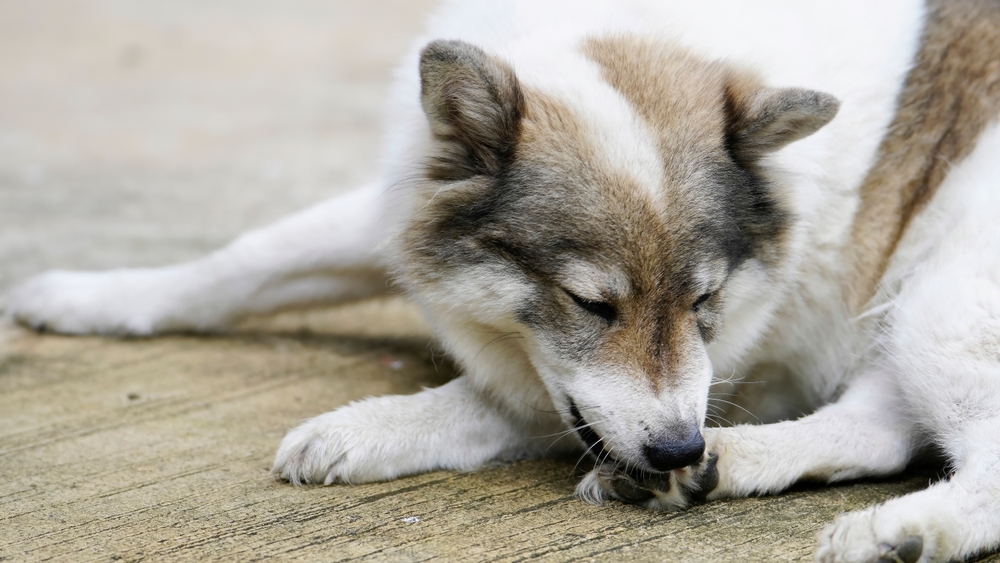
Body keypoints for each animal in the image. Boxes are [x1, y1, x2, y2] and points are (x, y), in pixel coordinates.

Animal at [5, 1, 1000, 563]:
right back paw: (729, 464)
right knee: (878, 428)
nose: (677, 447)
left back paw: (900, 529)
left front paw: (365, 426)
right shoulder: (403, 195)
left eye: (703, 301)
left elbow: (486, 401)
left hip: (941, 306)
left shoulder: (681, 374)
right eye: (592, 302)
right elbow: (240, 262)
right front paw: (91, 296)